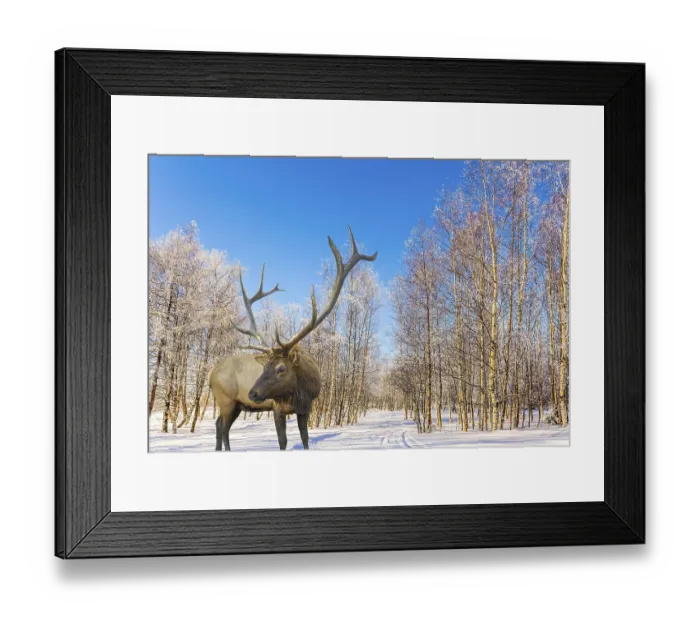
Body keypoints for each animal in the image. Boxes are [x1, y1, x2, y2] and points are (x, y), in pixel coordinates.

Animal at [208, 227, 377, 451]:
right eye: (264, 367)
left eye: (281, 368)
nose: (253, 393)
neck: (298, 392)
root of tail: (210, 375)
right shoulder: (277, 407)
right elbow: (283, 442)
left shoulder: (306, 408)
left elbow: (305, 438)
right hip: (226, 399)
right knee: (222, 426)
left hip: (235, 404)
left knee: (221, 425)